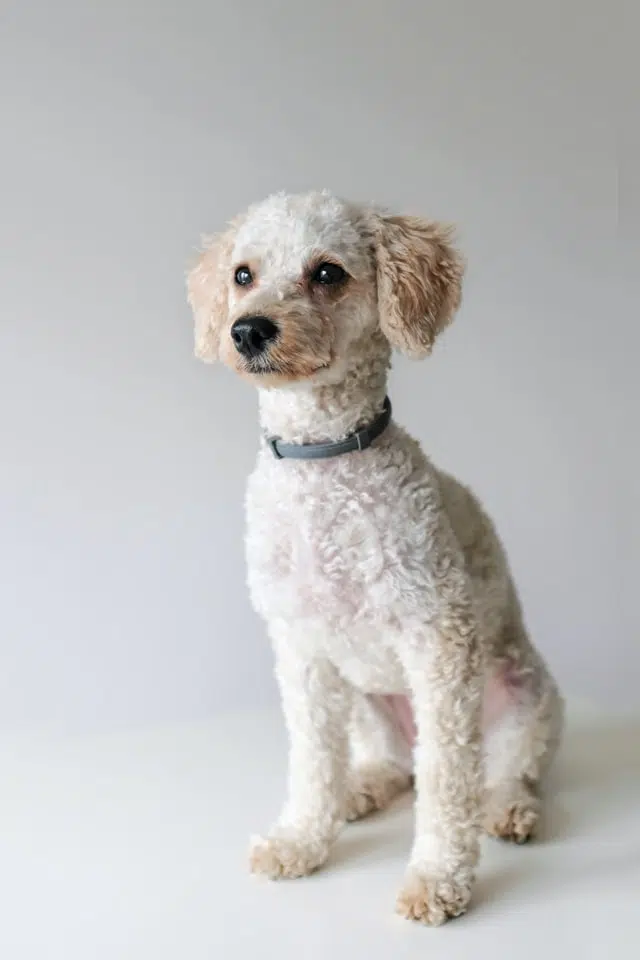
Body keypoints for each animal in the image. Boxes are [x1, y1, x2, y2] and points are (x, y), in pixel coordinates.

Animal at [188, 191, 564, 928]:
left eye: (327, 273)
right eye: (243, 275)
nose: (247, 330)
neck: (323, 460)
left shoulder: (439, 642)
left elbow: (447, 784)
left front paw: (437, 880)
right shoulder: (301, 650)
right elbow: (312, 762)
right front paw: (302, 839)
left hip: (527, 695)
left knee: (497, 771)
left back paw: (507, 808)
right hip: (362, 697)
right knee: (386, 763)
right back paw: (360, 789)